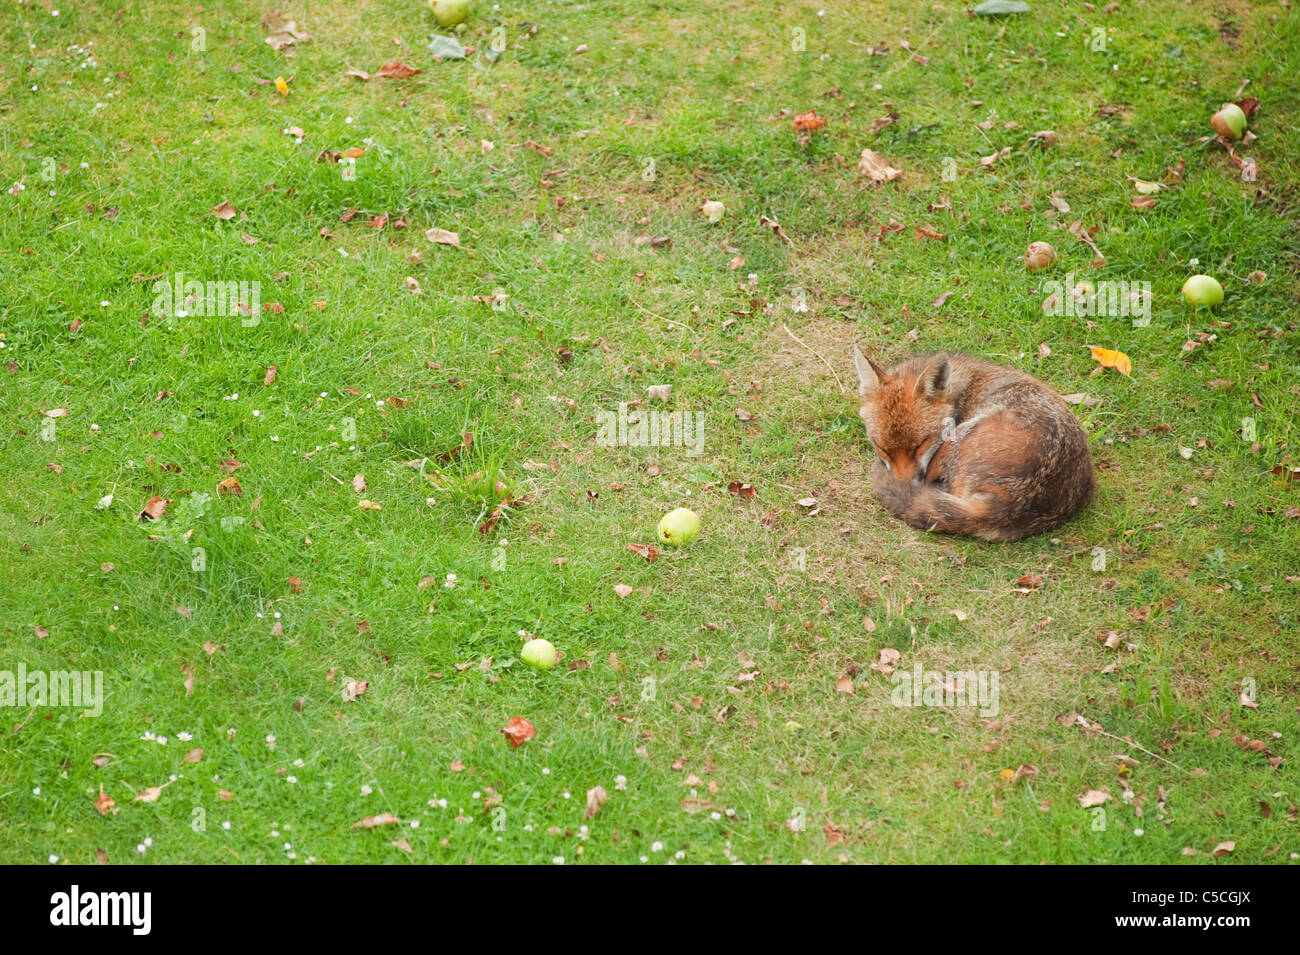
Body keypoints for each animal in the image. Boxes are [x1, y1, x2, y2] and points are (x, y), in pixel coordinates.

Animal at [852, 348, 1097, 545]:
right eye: (882, 448)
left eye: (920, 445)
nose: (903, 484)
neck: (962, 391)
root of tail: (1010, 507)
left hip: (959, 437)